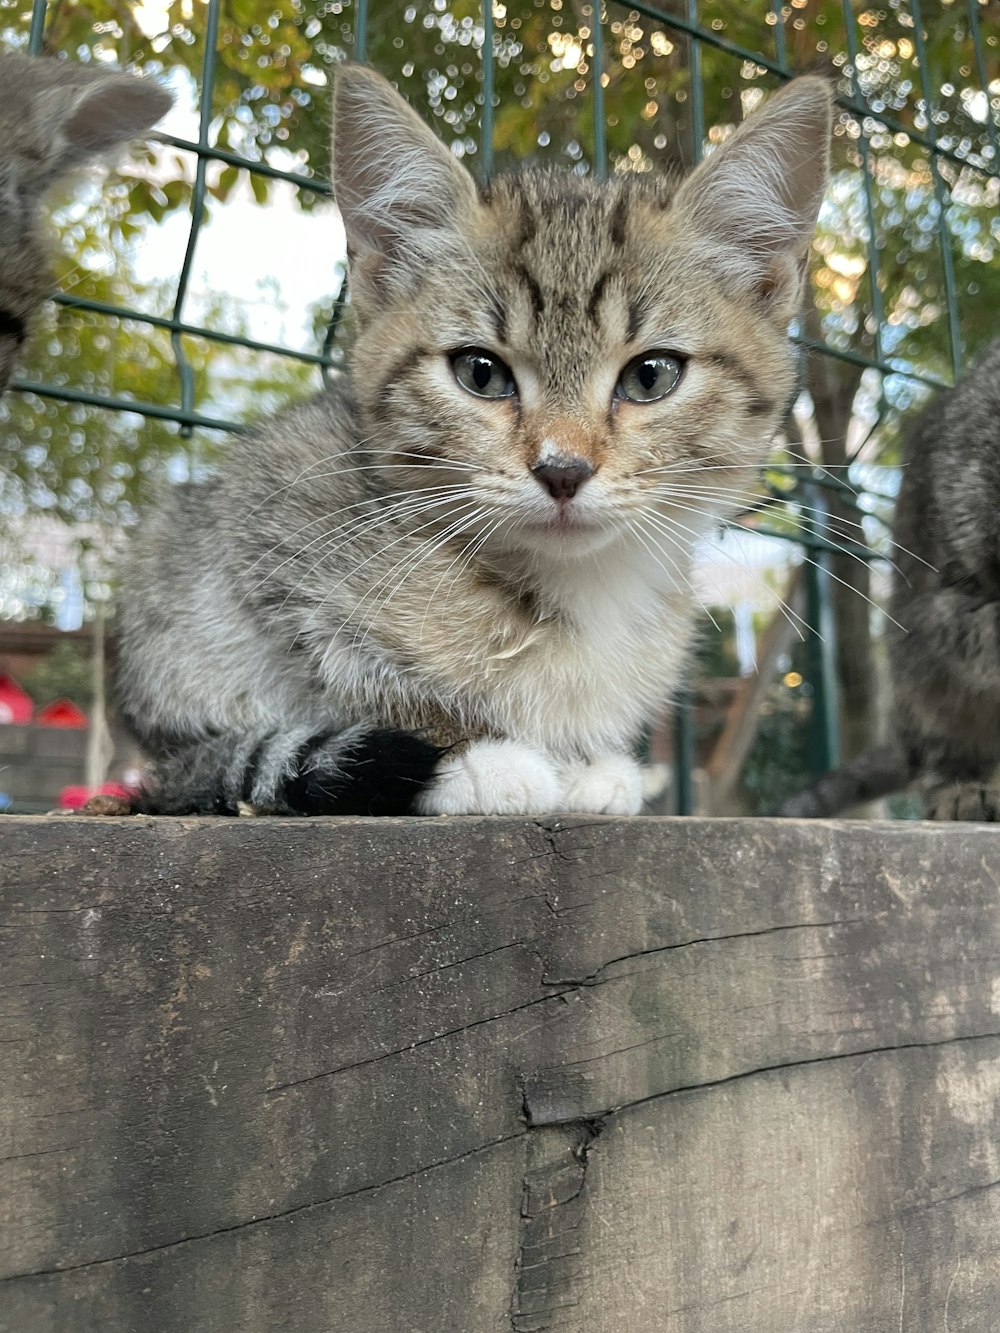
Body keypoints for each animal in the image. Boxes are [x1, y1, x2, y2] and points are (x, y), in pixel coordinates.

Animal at [119, 67, 837, 815]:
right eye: (481, 373)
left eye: (651, 376)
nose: (562, 469)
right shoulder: (259, 537)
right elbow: (340, 672)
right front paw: (475, 758)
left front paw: (585, 766)